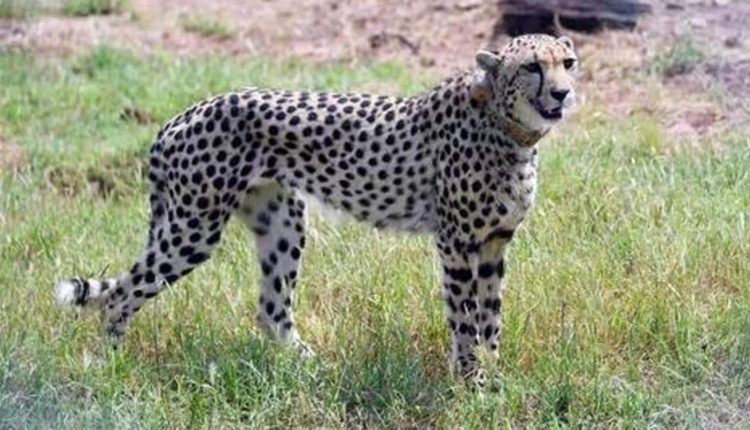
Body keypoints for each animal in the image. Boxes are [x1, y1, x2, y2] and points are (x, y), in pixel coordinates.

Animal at [54, 34, 579, 384]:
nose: (562, 92)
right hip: (193, 227)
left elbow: (491, 318)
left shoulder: (494, 242)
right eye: (532, 67)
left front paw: (494, 378)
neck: (509, 128)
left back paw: (312, 368)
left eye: (568, 63)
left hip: (282, 221)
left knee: (271, 308)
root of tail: (183, 114)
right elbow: (465, 318)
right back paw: (112, 365)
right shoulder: (456, 242)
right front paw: (473, 383)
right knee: (122, 295)